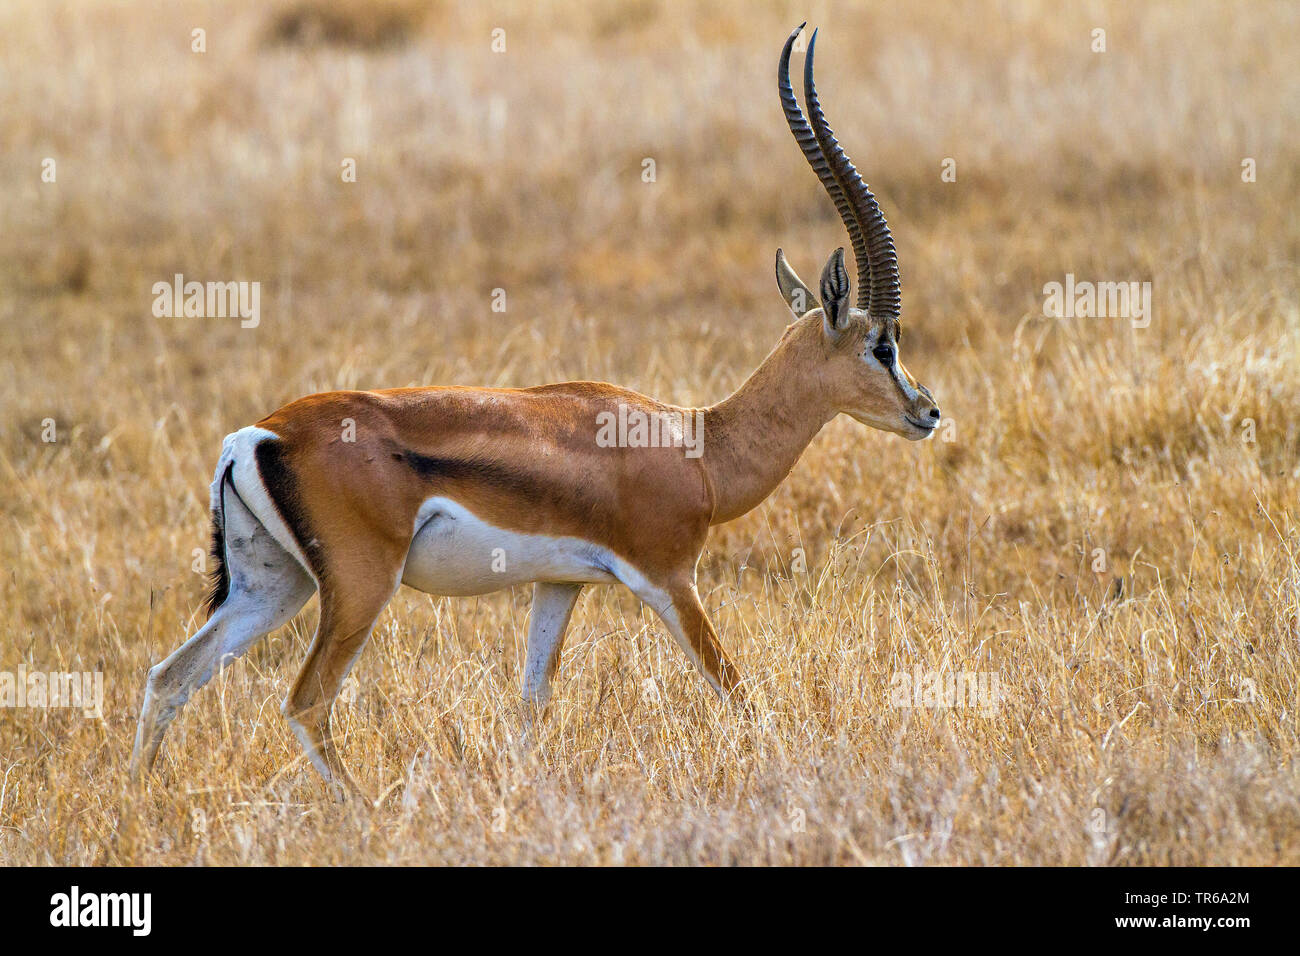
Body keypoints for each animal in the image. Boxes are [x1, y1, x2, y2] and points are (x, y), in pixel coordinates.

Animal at [130, 24, 940, 796]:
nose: (927, 411)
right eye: (882, 344)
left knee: (170, 677)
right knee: (306, 701)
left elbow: (532, 699)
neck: (698, 444)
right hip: (359, 588)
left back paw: (139, 802)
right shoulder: (669, 578)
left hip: (275, 586)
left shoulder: (560, 584)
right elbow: (734, 687)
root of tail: (255, 437)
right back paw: (365, 810)